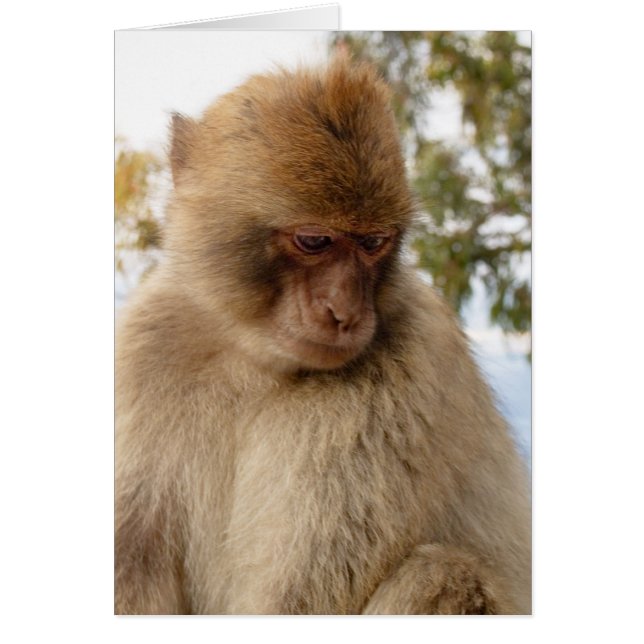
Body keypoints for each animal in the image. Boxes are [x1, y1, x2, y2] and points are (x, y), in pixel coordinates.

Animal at [115, 58, 531, 615]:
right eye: (315, 240)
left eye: (373, 242)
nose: (345, 312)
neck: (255, 360)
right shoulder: (147, 343)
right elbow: (132, 559)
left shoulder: (398, 377)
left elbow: (305, 594)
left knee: (444, 574)